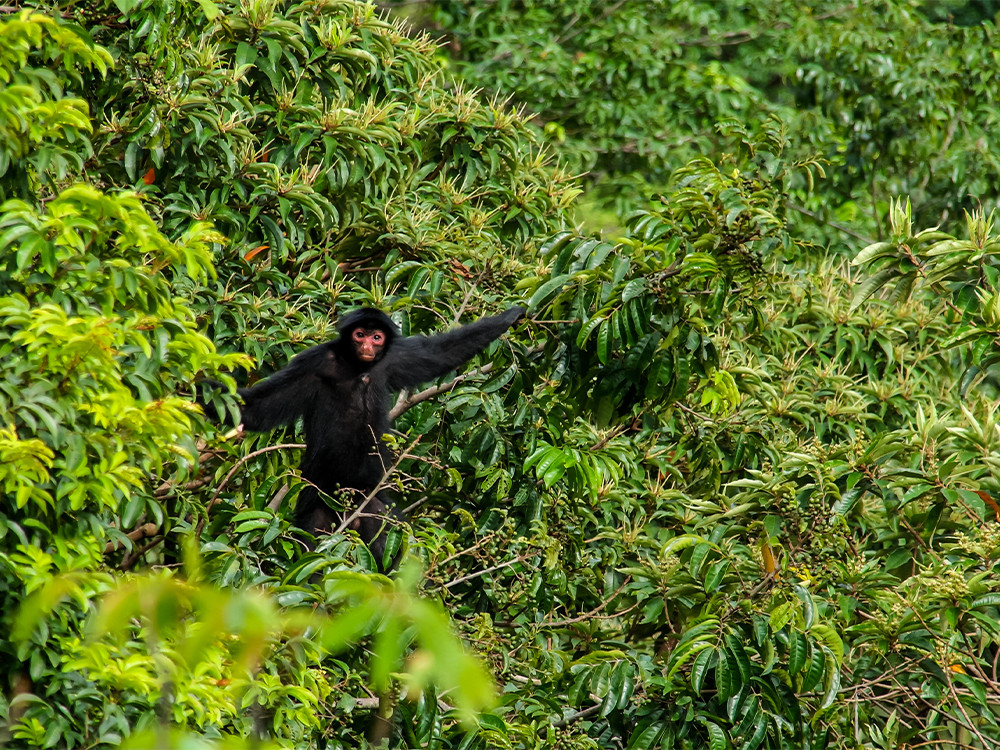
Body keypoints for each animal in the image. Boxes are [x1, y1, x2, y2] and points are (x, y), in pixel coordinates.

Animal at [231, 304, 528, 564]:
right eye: (359, 335)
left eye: (377, 337)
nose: (367, 347)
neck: (358, 368)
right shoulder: (313, 362)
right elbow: (261, 405)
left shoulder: (393, 358)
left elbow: (441, 354)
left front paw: (510, 316)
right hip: (319, 502)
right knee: (312, 551)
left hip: (372, 502)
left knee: (388, 540)